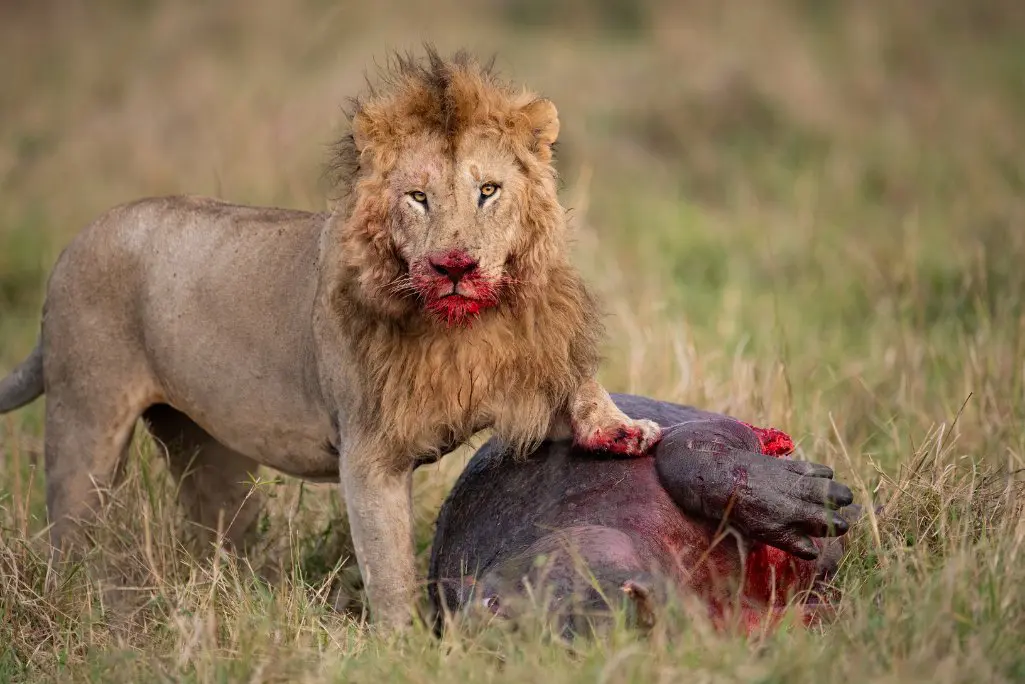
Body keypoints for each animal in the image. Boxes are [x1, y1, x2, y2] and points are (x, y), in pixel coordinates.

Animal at [0, 48, 661, 630]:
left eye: (488, 191)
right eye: (417, 197)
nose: (454, 265)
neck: (461, 332)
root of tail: (74, 244)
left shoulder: (517, 371)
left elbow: (578, 386)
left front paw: (623, 430)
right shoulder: (368, 455)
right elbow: (389, 568)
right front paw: (404, 646)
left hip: (203, 444)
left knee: (219, 529)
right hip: (87, 419)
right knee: (67, 530)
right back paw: (75, 603)